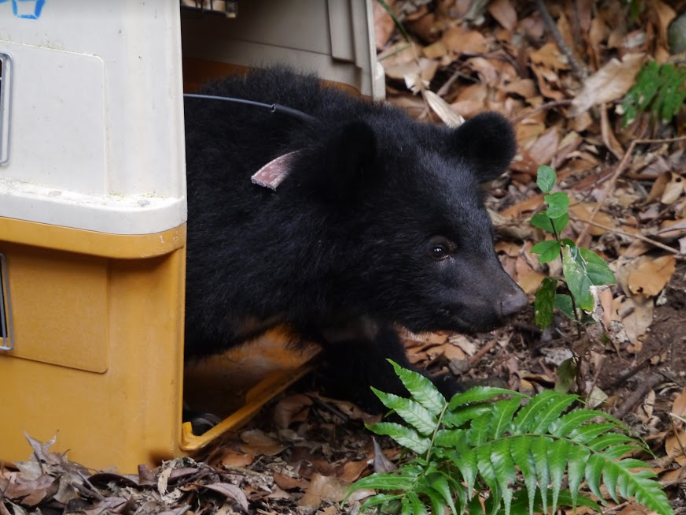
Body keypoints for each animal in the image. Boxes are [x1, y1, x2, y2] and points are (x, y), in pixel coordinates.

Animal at [183, 67, 528, 412]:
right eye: (438, 249)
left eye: (488, 235)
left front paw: (453, 393)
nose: (513, 303)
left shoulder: (340, 299)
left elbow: (370, 351)